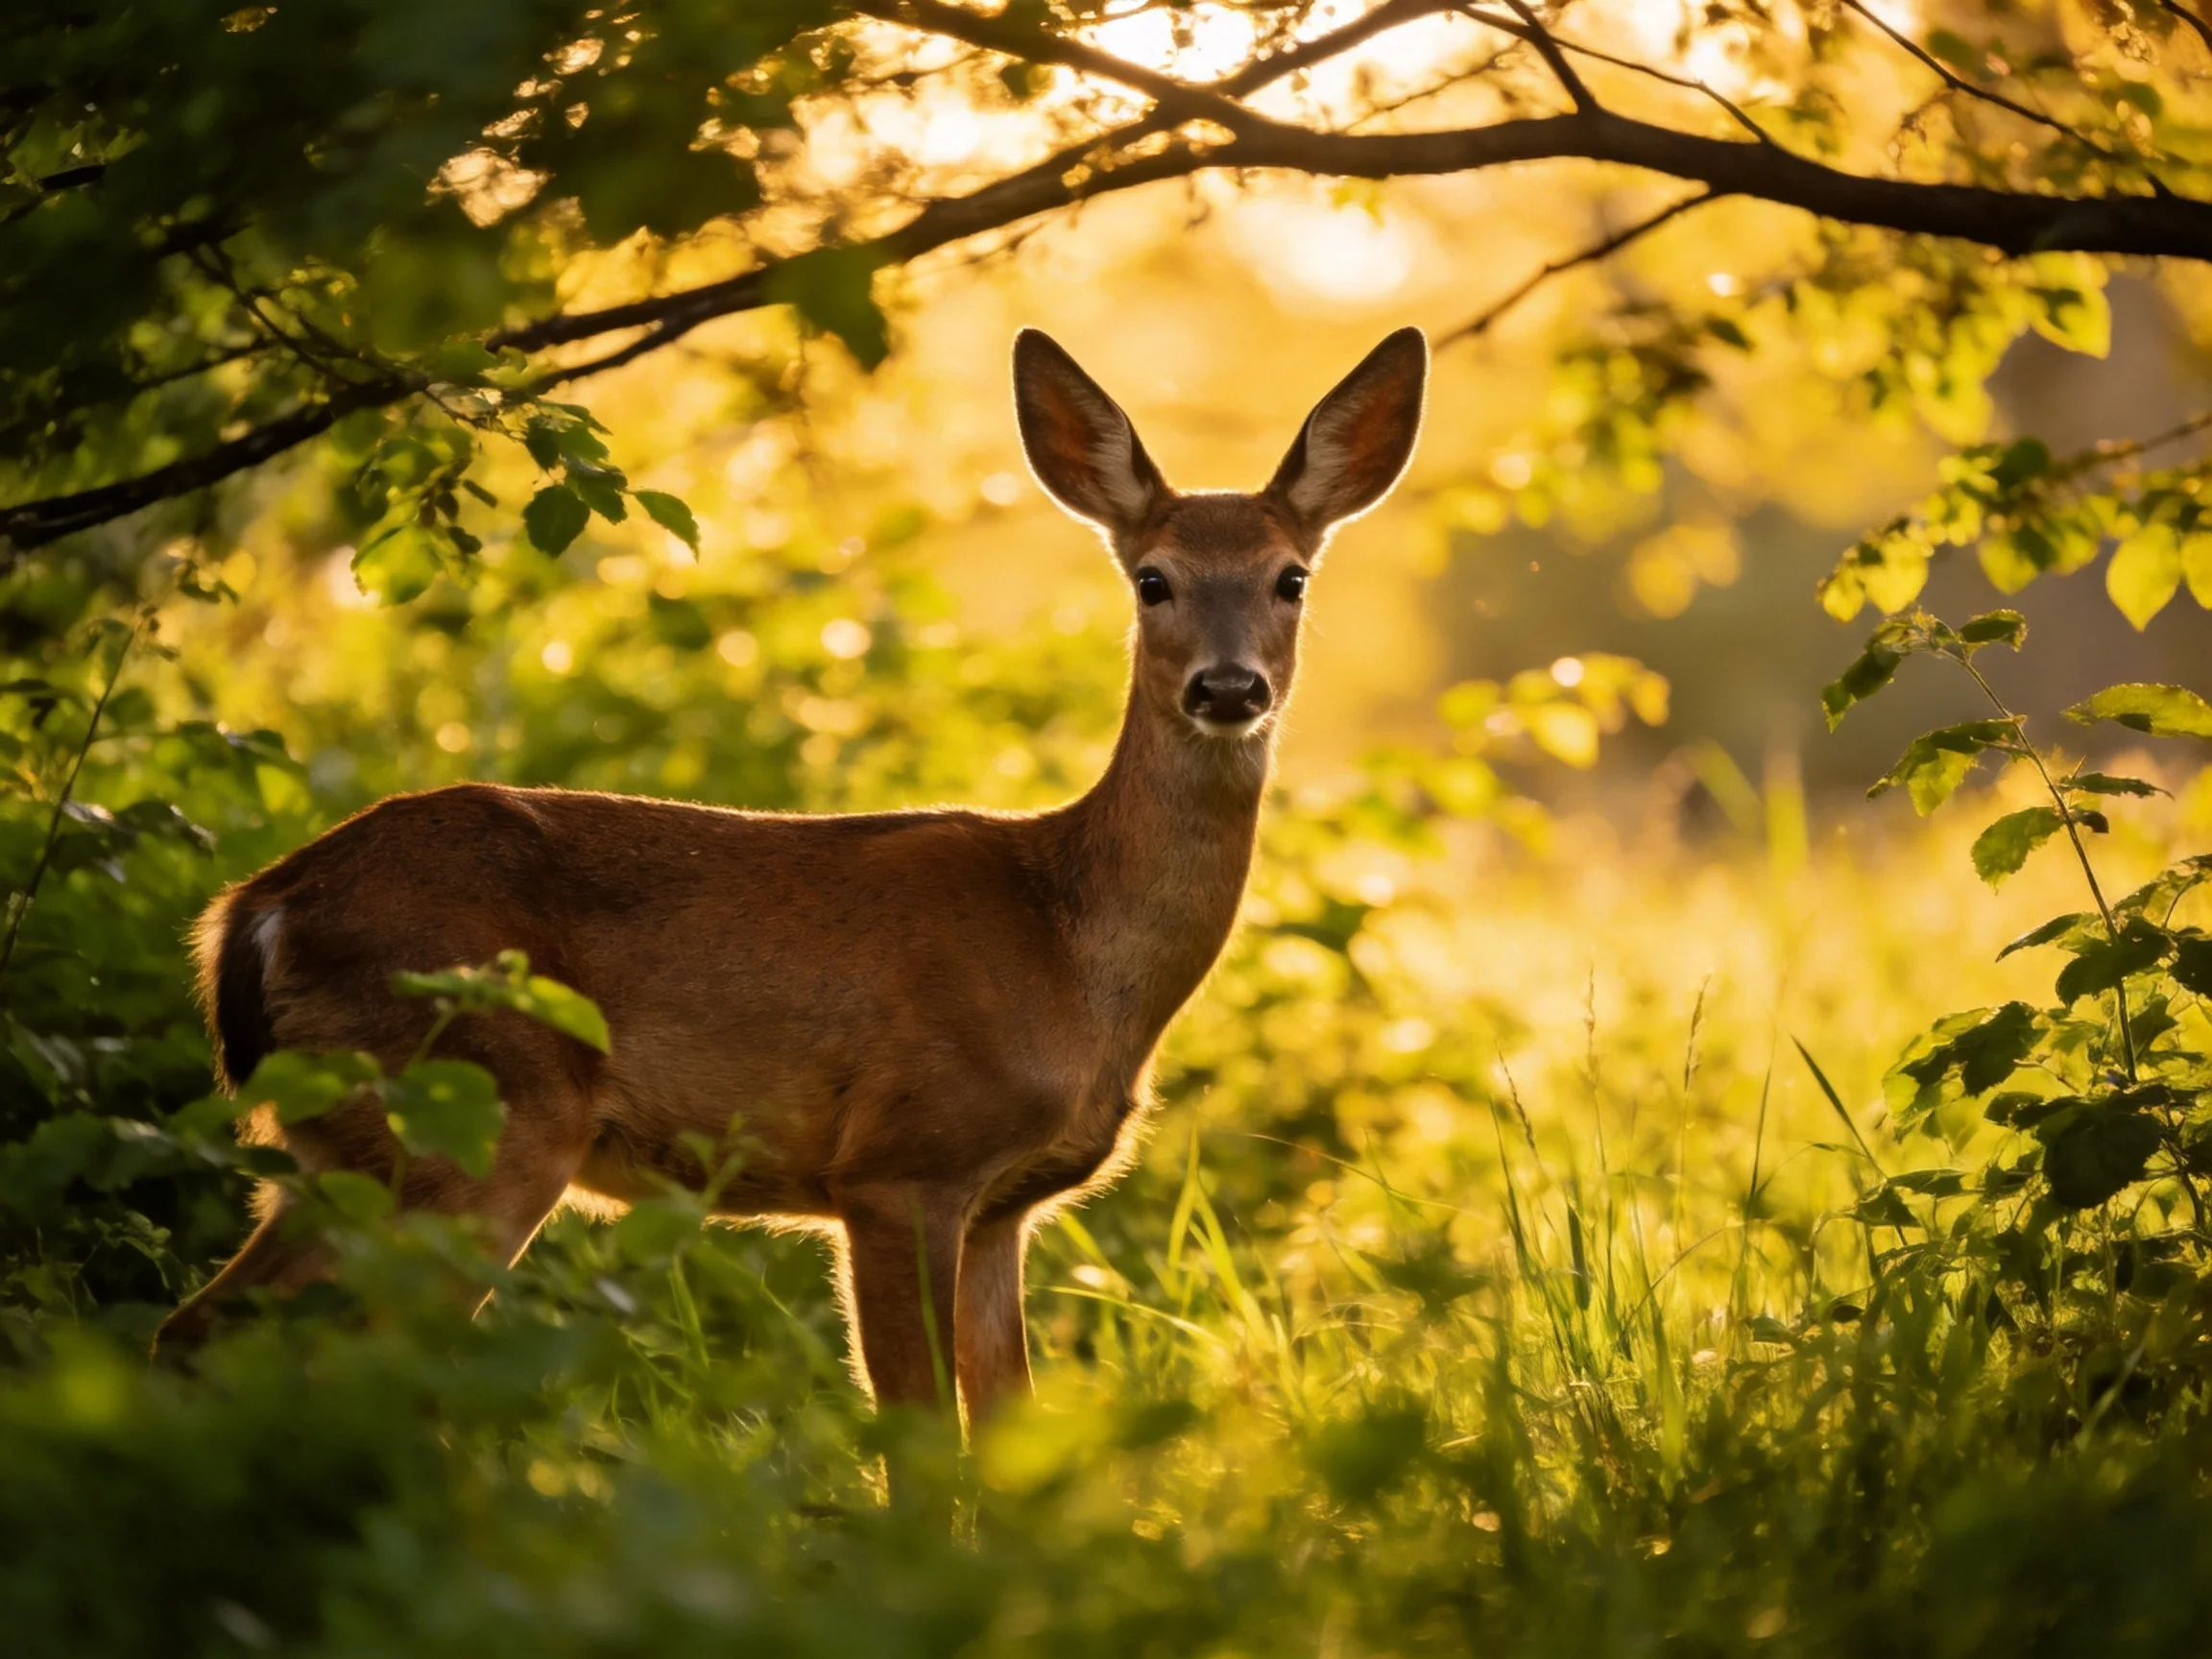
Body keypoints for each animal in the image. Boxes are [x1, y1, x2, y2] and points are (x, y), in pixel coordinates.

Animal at [158, 326, 1429, 1428]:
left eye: (1290, 579)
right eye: (1153, 580)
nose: (1228, 687)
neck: (1071, 950)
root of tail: (250, 911)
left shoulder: (1002, 1209)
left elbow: (1012, 1433)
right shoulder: (899, 1162)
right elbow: (924, 1441)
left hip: (342, 1145)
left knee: (204, 1327)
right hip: (479, 1107)